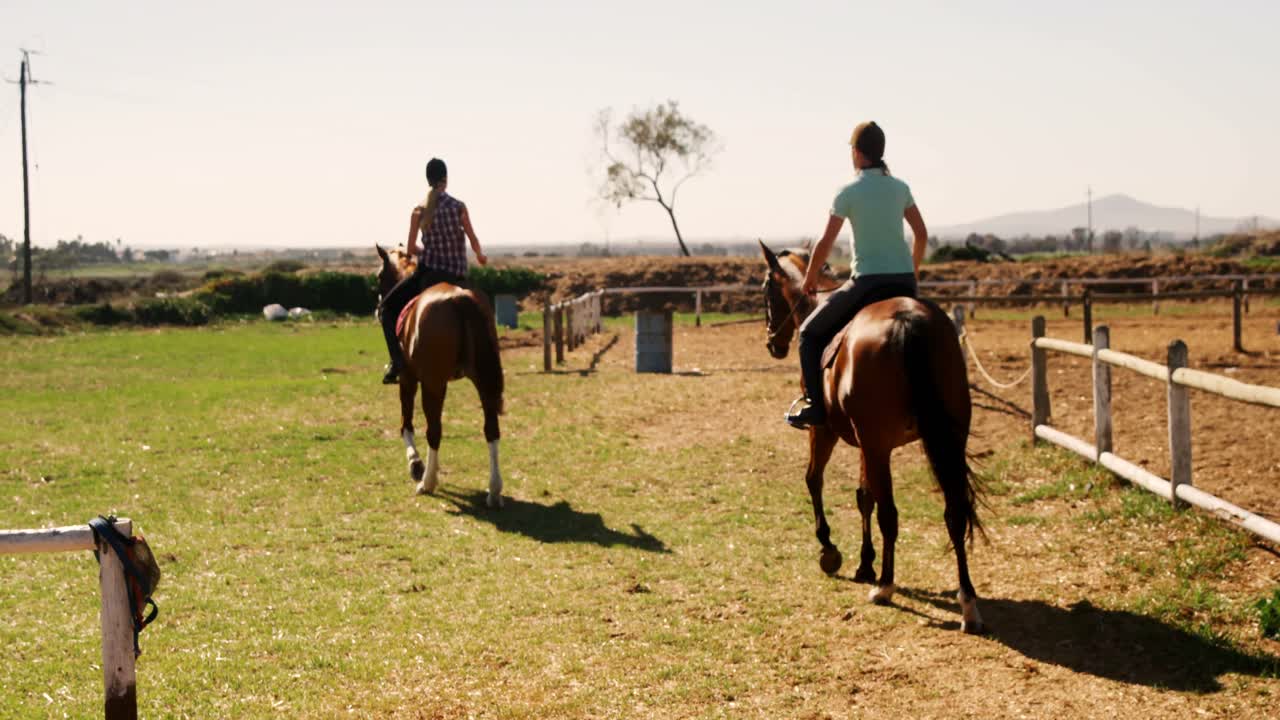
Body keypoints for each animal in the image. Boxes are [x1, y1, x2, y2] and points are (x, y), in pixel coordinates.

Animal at [375, 244, 506, 507]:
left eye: (379, 276)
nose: (377, 307)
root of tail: (460, 299)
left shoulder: (409, 379)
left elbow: (406, 424)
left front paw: (416, 465)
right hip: (483, 381)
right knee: (491, 429)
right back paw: (494, 491)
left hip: (433, 384)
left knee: (434, 430)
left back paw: (428, 482)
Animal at [759, 241, 986, 633]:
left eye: (765, 290)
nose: (774, 342)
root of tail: (907, 321)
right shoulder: (869, 444)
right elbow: (864, 496)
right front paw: (865, 563)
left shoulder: (826, 430)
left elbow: (815, 480)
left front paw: (830, 550)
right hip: (944, 439)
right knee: (954, 512)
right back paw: (967, 603)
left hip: (874, 442)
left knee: (890, 515)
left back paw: (885, 586)